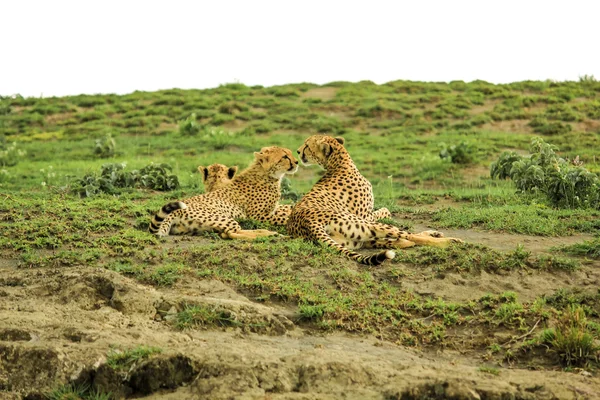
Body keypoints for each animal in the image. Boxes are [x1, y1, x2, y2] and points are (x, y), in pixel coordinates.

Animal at [151, 148, 298, 239]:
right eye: (285, 156)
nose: (296, 162)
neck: (267, 174)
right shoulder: (258, 216)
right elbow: (286, 217)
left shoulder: (273, 209)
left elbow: (289, 208)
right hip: (222, 217)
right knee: (230, 233)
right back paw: (269, 234)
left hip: (198, 226)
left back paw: (268, 232)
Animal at [288, 135, 464, 266]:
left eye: (307, 145)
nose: (298, 151)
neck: (339, 164)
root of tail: (308, 223)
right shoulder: (366, 216)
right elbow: (386, 209)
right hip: (364, 224)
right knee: (409, 236)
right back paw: (450, 241)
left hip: (355, 239)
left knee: (391, 239)